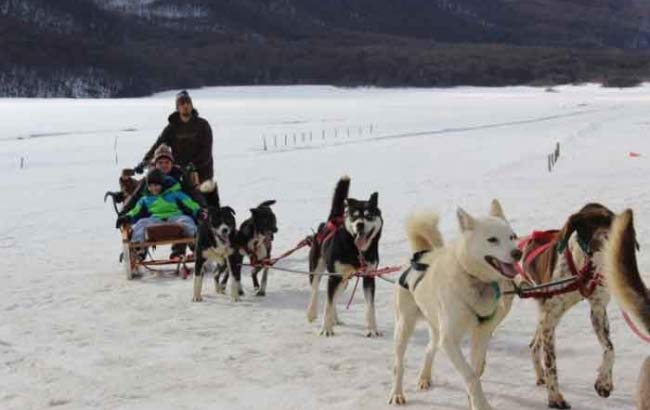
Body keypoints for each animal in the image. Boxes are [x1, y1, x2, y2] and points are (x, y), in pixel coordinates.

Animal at [306, 176, 382, 336]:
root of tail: (333, 219)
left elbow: (370, 307)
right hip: (318, 269)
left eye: (369, 215)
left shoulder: (369, 277)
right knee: (315, 290)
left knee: (334, 299)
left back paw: (335, 319)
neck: (357, 251)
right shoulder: (333, 277)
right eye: (354, 216)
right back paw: (312, 313)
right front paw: (326, 329)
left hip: (344, 281)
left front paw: (372, 329)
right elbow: (327, 304)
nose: (360, 224)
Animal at [388, 200, 520, 408]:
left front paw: (473, 401)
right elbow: (471, 376)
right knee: (398, 365)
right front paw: (481, 404)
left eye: (512, 237)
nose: (518, 253)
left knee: (429, 349)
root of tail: (419, 255)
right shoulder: (449, 340)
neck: (474, 279)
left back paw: (424, 378)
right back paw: (397, 393)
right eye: (492, 240)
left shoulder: (481, 334)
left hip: (435, 329)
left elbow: (475, 372)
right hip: (404, 327)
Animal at [520, 203, 616, 408]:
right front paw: (555, 397)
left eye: (612, 222)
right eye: (591, 223)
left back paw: (540, 376)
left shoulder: (598, 310)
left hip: (543, 314)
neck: (583, 272)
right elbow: (551, 363)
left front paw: (604, 382)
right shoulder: (551, 318)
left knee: (534, 345)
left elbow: (610, 349)